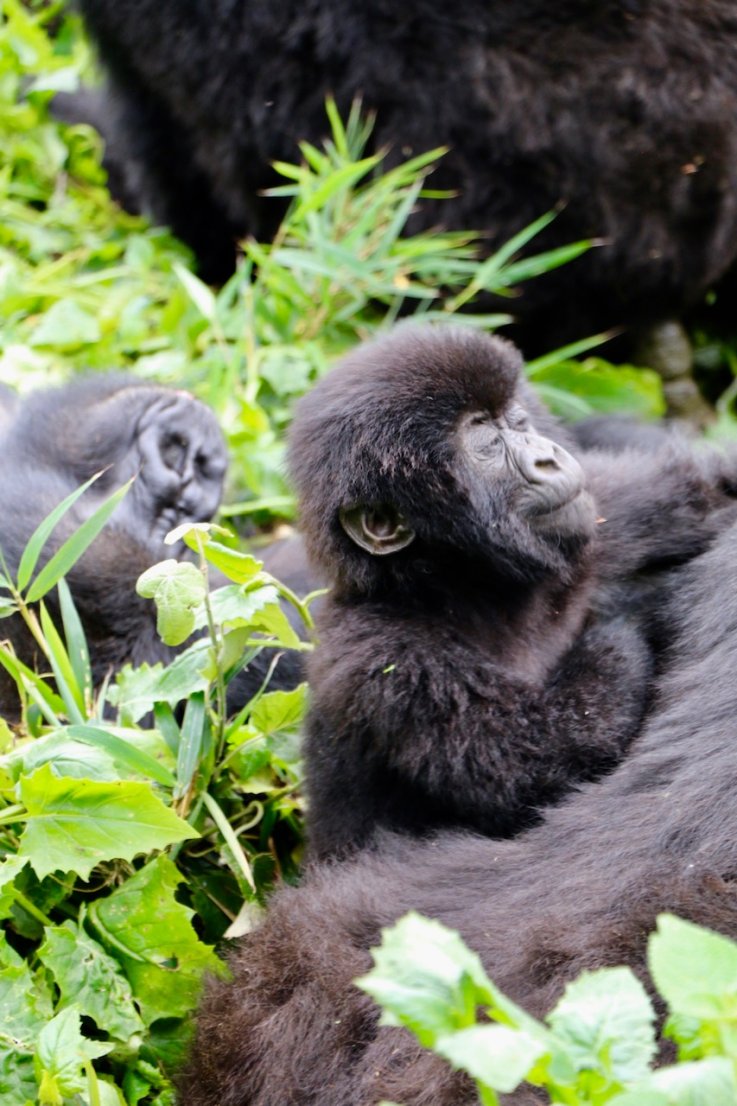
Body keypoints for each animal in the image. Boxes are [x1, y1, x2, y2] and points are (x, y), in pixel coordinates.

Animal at [285, 322, 734, 858]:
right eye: (483, 436)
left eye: (515, 418)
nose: (548, 457)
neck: (473, 588)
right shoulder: (380, 656)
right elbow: (540, 758)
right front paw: (637, 608)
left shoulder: (605, 511)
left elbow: (702, 491)